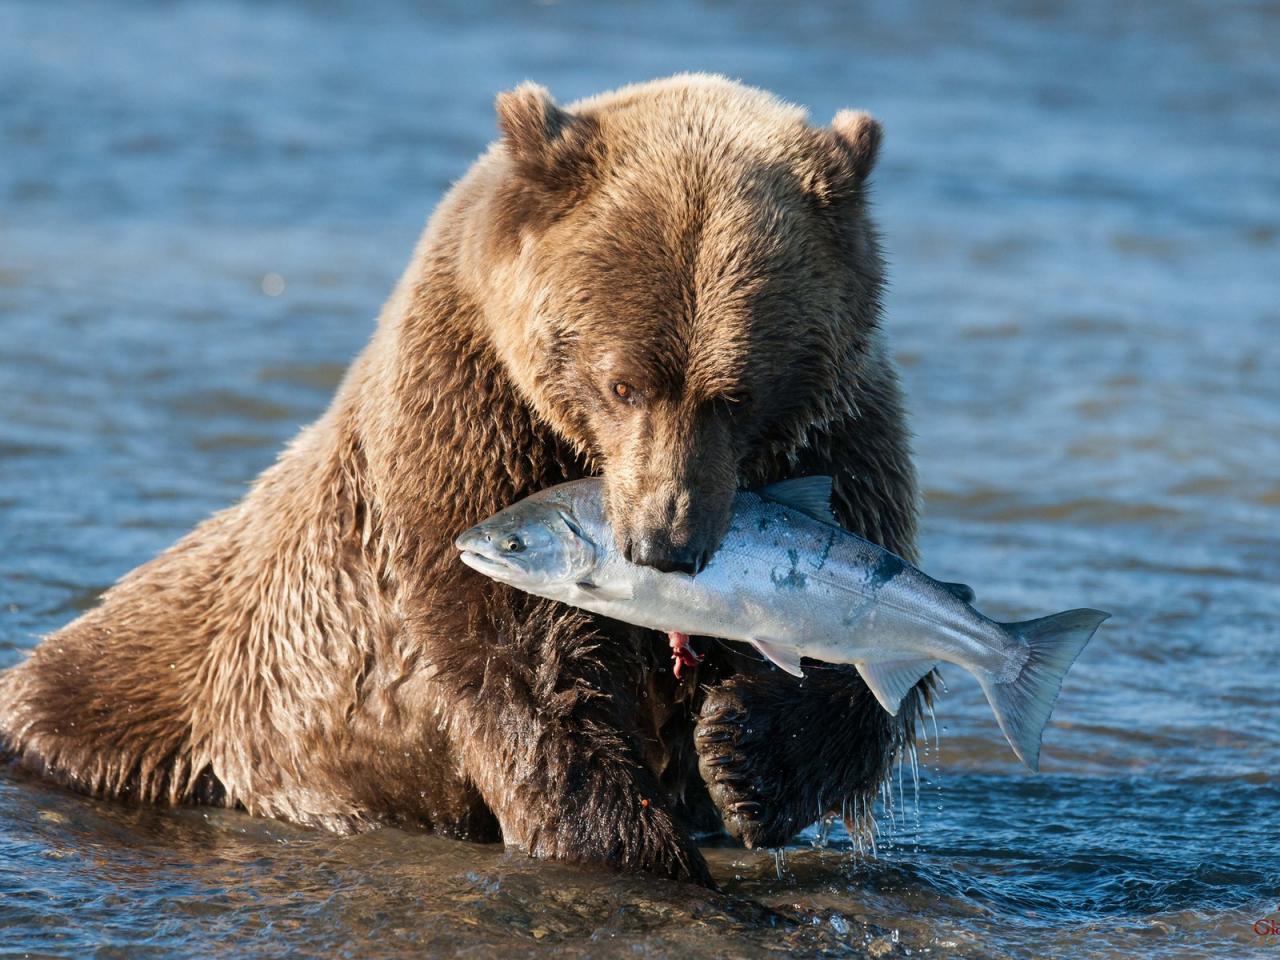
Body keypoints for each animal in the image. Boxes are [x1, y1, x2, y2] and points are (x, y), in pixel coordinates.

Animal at [0, 75, 921, 885]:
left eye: (737, 394)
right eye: (623, 382)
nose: (665, 542)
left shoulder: (840, 436)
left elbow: (868, 636)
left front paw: (743, 757)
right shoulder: (469, 419)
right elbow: (522, 661)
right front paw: (633, 846)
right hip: (173, 676)